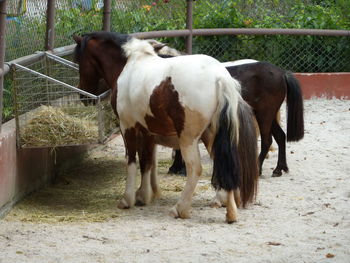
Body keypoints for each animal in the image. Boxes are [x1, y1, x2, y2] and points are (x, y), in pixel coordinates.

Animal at [73, 32, 260, 224]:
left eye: (78, 60)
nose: (83, 96)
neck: (130, 65)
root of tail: (219, 77)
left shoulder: (128, 127)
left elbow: (132, 161)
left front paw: (128, 198)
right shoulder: (148, 132)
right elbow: (147, 162)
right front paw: (143, 195)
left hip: (188, 139)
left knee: (195, 168)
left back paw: (180, 208)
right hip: (211, 136)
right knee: (225, 165)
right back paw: (230, 211)